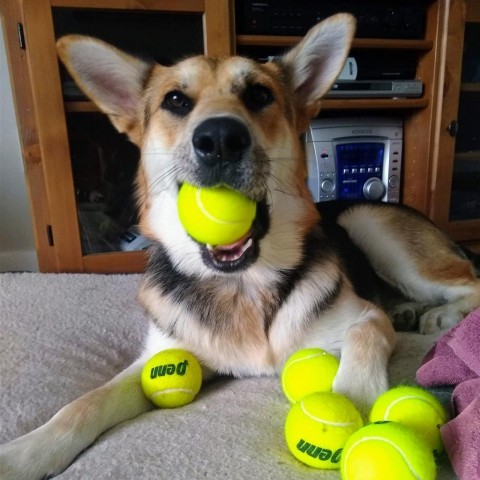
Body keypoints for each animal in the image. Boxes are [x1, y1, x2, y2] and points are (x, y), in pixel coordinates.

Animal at [0, 13, 480, 478]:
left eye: (259, 95)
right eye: (175, 101)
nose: (219, 139)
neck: (241, 284)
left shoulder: (365, 319)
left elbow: (359, 358)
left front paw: (350, 418)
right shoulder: (158, 355)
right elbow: (85, 402)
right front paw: (26, 452)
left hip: (368, 222)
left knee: (469, 282)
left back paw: (439, 315)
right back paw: (410, 310)